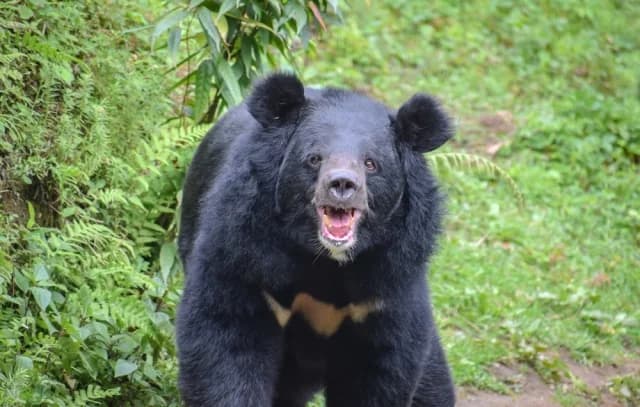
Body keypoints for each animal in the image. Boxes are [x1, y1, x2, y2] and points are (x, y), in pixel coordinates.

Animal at [176, 73, 455, 407]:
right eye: (314, 158)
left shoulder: (388, 282)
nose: (342, 184)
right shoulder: (246, 251)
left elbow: (380, 368)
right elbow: (226, 338)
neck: (325, 260)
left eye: (371, 163)